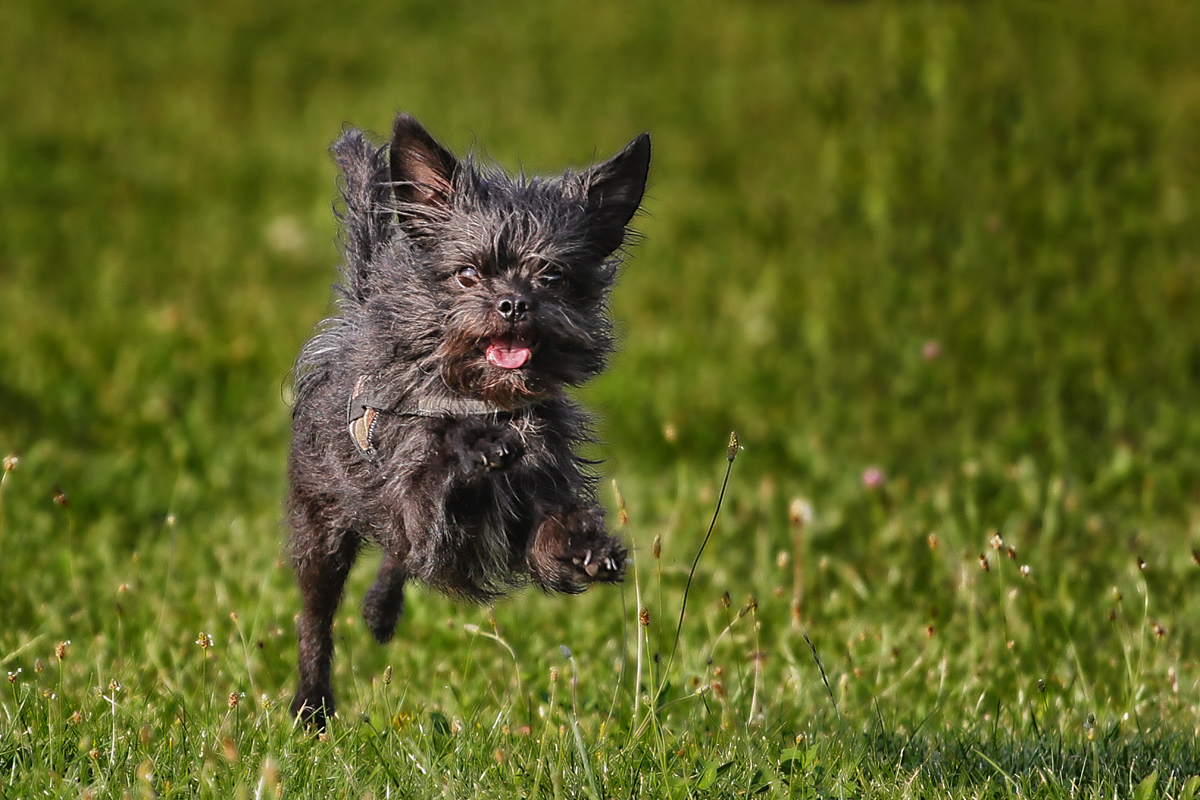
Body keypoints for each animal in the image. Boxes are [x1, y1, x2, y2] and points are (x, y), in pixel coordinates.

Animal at [286, 113, 652, 734]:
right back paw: (311, 706)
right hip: (322, 527)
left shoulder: (534, 505)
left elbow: (549, 537)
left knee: (397, 561)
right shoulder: (417, 501)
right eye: (466, 275)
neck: (487, 397)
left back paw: (380, 611)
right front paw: (478, 442)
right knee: (318, 616)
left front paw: (585, 545)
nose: (513, 303)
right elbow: (438, 459)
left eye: (552, 276)